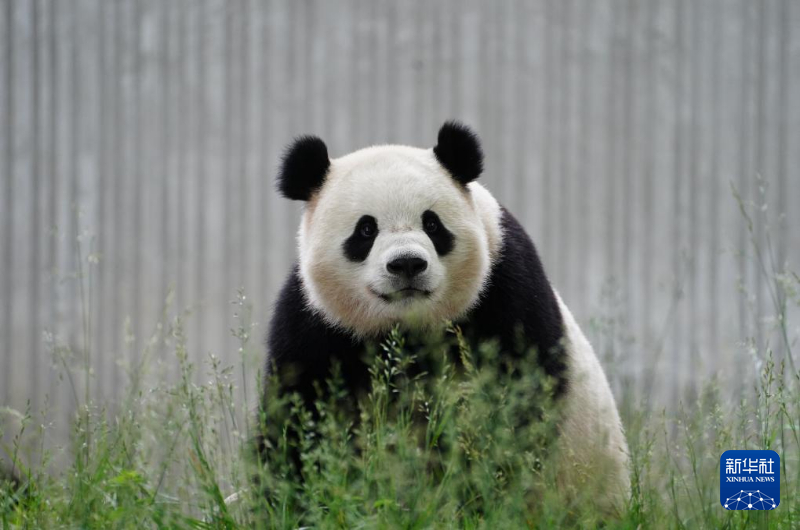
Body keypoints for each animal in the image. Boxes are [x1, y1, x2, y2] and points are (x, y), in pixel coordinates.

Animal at [262, 120, 632, 512]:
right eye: (366, 229)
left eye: (432, 224)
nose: (407, 264)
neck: (406, 330)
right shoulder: (315, 323)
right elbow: (298, 418)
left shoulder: (505, 292)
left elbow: (513, 405)